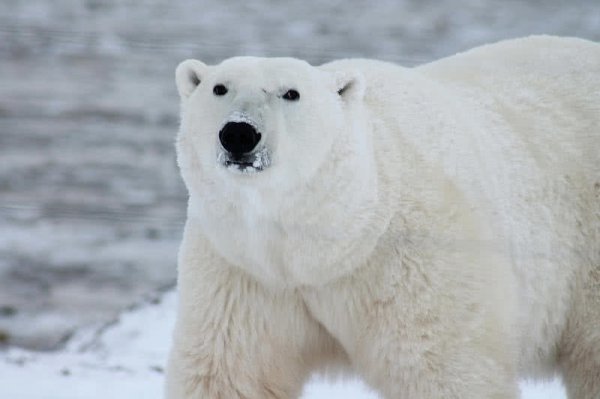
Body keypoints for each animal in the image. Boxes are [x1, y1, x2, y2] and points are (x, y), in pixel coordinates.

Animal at [165, 36, 600, 398]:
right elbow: (231, 373)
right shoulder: (244, 272)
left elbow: (443, 369)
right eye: (219, 88)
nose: (239, 133)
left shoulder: (413, 262)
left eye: (291, 93)